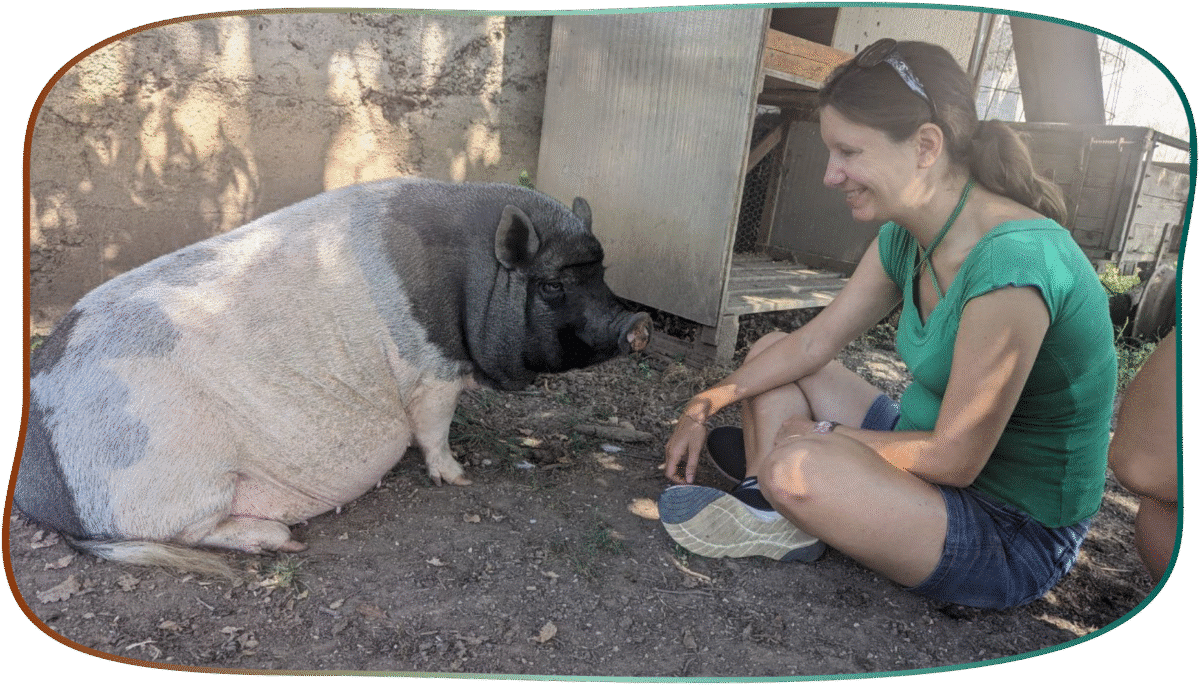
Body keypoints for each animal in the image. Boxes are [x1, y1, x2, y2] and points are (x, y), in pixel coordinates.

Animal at [15, 177, 652, 575]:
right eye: (553, 286)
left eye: (600, 273)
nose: (638, 321)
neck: (473, 281)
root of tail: (39, 486)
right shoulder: (432, 373)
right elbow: (434, 430)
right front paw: (459, 477)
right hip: (177, 478)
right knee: (190, 531)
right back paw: (282, 540)